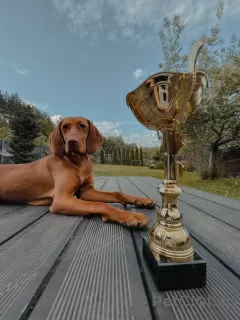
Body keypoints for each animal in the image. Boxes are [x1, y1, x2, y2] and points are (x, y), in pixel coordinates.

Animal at [0, 117, 156, 228]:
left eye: (82, 126)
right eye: (64, 127)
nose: (72, 141)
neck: (79, 163)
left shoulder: (86, 191)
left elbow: (118, 193)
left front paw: (142, 200)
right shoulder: (61, 199)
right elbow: (101, 205)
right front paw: (131, 216)